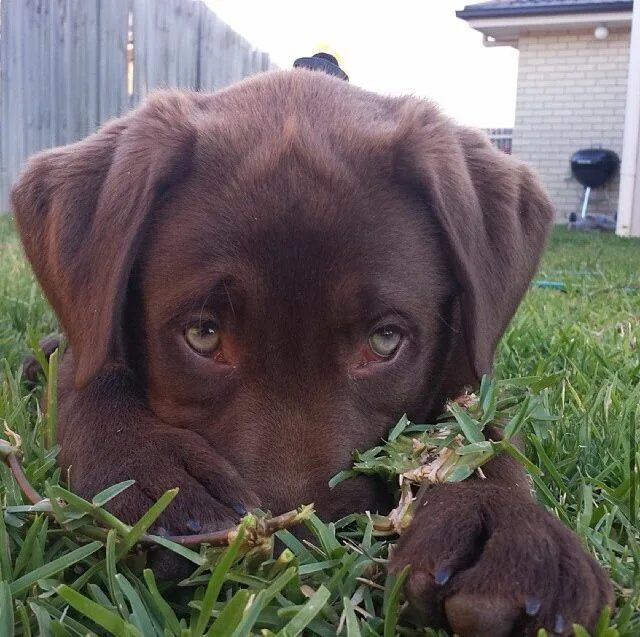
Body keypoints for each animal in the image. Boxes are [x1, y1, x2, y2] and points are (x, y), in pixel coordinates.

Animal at [10, 67, 608, 632]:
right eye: (203, 335)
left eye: (384, 340)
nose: (296, 543)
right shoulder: (93, 337)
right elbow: (89, 382)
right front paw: (159, 479)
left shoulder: (466, 362)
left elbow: (484, 435)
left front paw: (505, 526)